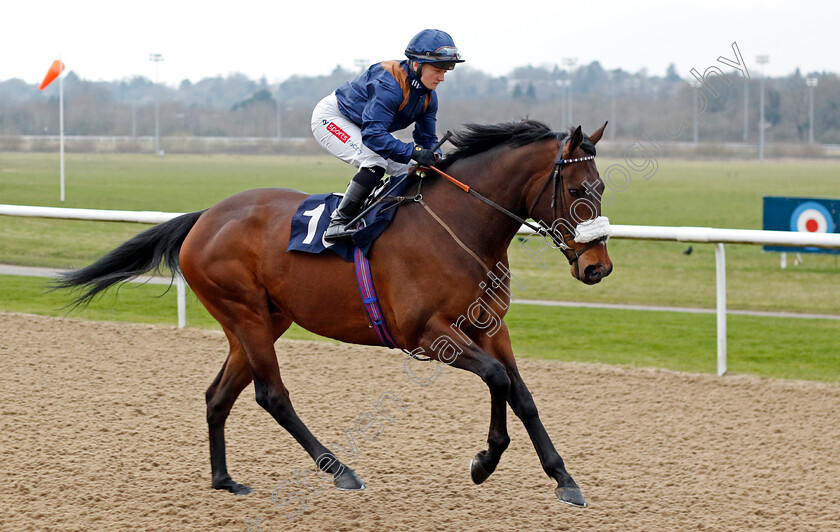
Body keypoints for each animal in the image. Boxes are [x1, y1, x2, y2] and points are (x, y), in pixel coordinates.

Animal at [57, 119, 612, 508]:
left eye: (602, 187)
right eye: (577, 190)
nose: (597, 267)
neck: (461, 228)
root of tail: (204, 218)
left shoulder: (489, 326)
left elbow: (521, 393)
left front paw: (563, 479)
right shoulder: (427, 334)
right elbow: (497, 379)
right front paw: (486, 460)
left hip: (260, 320)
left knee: (218, 395)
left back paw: (224, 480)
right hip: (247, 315)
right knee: (271, 395)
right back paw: (339, 468)